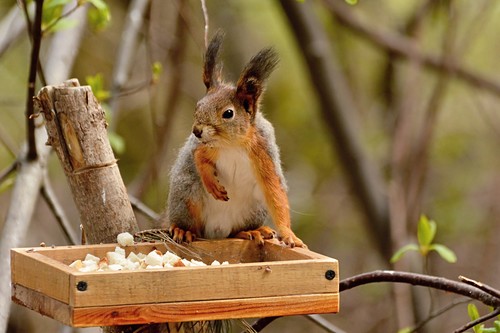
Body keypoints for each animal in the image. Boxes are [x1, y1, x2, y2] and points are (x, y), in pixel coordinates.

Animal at [163, 31, 304, 246]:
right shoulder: (205, 146)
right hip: (187, 196)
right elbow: (198, 155)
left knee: (235, 232)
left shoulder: (264, 151)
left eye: (228, 113)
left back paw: (251, 232)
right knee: (190, 222)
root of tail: (216, 231)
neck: (233, 145)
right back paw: (183, 230)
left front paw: (289, 234)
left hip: (253, 210)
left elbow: (274, 190)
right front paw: (211, 183)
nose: (197, 131)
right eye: (198, 105)